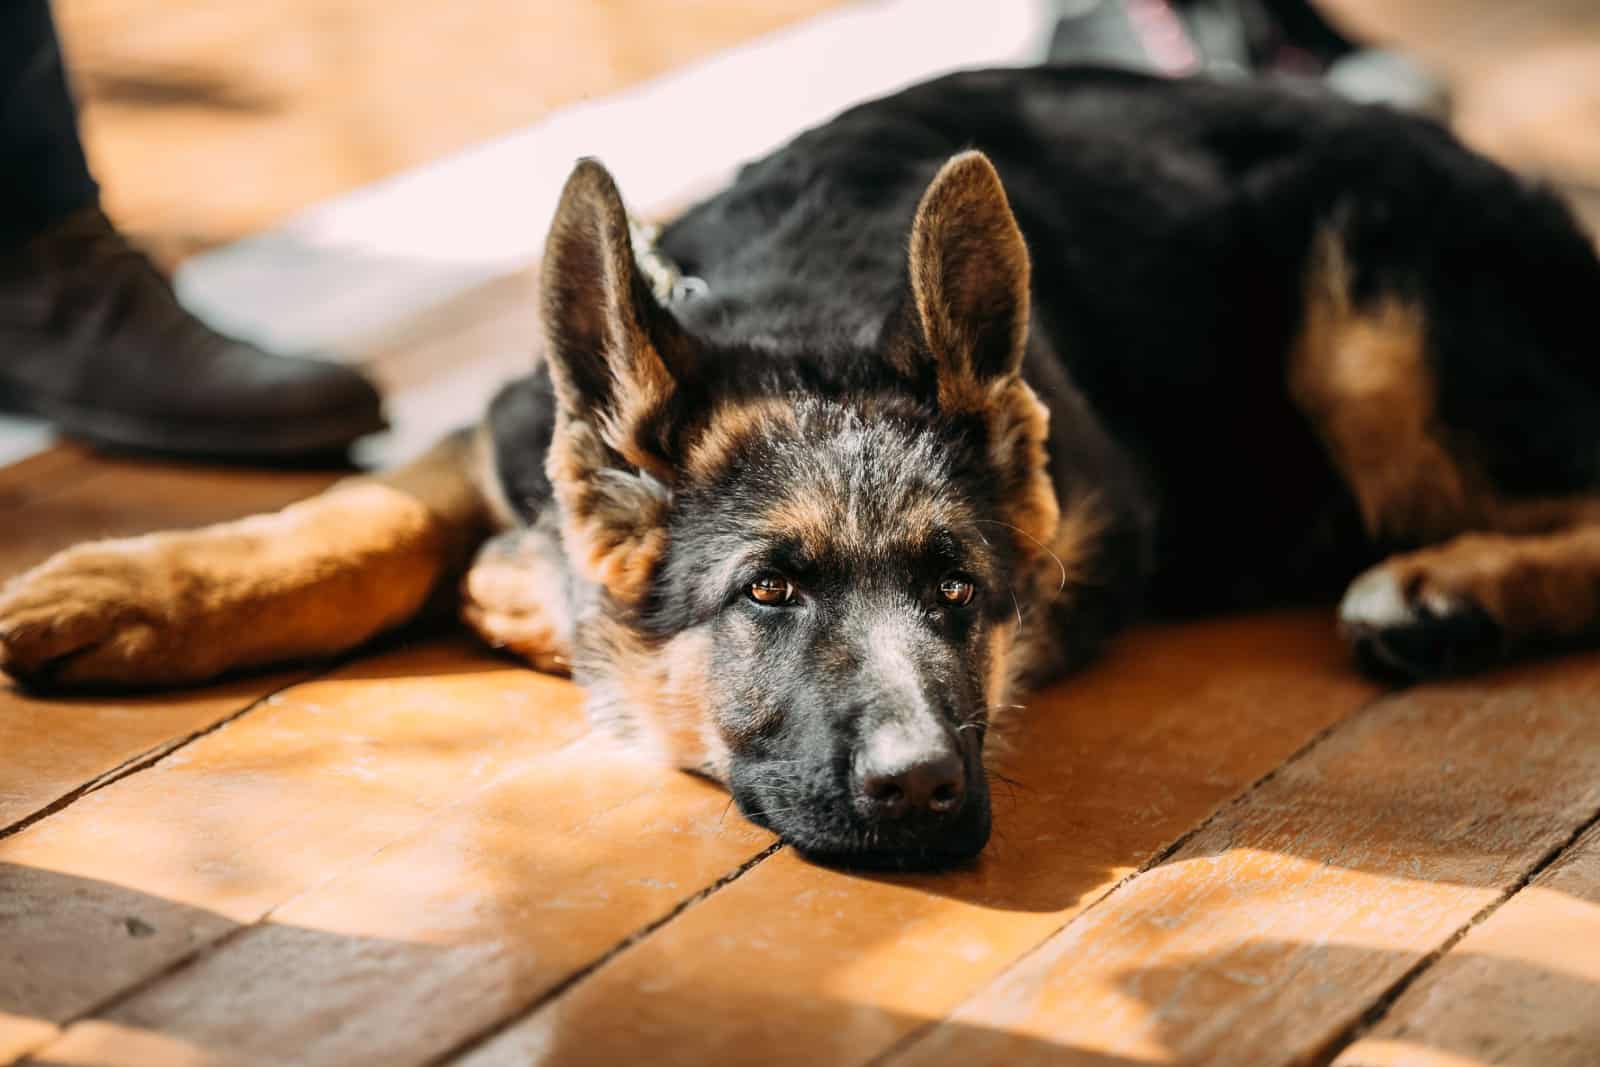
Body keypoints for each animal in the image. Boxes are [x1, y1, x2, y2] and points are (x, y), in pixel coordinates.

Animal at [3, 64, 1600, 870]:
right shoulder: (502, 430)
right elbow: (362, 517)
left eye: (959, 592)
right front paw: (129, 589)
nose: (925, 795)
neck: (793, 312)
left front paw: (528, 597)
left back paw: (1446, 590)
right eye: (766, 592)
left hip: (1368, 321)